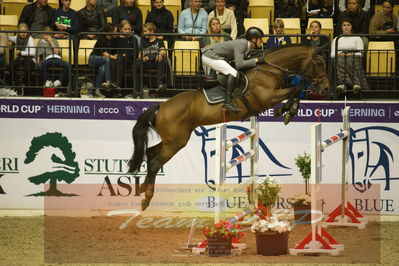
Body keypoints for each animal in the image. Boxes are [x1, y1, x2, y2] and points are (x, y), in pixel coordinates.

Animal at [130, 45, 330, 210]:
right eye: (319, 63)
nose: (325, 88)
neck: (269, 71)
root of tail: (161, 106)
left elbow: (296, 89)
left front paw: (289, 111)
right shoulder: (268, 97)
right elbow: (296, 88)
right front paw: (287, 110)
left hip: (172, 140)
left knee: (150, 153)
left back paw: (143, 189)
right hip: (176, 142)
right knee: (155, 163)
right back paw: (146, 199)